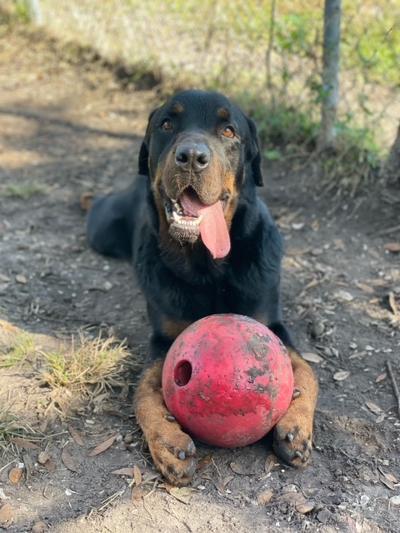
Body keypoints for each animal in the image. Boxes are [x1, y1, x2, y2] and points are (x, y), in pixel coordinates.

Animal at [86, 89, 318, 484]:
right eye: (167, 124)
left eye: (228, 131)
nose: (191, 157)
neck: (207, 265)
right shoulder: (163, 338)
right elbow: (142, 392)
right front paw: (167, 441)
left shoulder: (272, 323)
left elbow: (307, 370)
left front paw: (296, 425)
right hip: (101, 230)